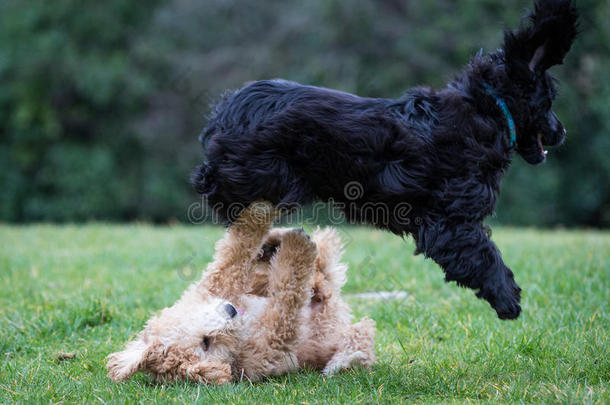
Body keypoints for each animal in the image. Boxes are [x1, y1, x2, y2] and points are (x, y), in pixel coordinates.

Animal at [107, 202, 376, 382]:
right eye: (206, 343)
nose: (230, 310)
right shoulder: (271, 345)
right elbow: (286, 298)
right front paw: (297, 249)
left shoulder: (216, 284)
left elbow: (236, 251)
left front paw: (262, 216)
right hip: (335, 329)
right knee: (359, 334)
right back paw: (340, 362)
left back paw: (276, 243)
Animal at [190, 1, 576, 320]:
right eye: (549, 101)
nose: (562, 131)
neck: (488, 109)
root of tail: (228, 108)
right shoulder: (451, 223)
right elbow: (485, 254)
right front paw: (507, 298)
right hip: (265, 176)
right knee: (216, 188)